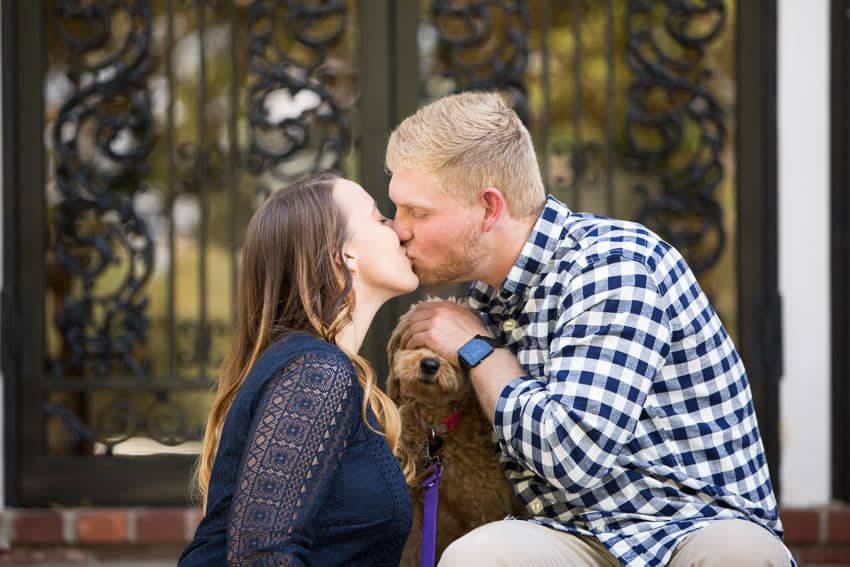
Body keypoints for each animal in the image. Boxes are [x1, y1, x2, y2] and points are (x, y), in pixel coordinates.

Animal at [388, 298, 520, 567]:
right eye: (417, 341)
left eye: (451, 353)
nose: (429, 364)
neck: (435, 428)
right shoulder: (415, 515)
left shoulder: (485, 508)